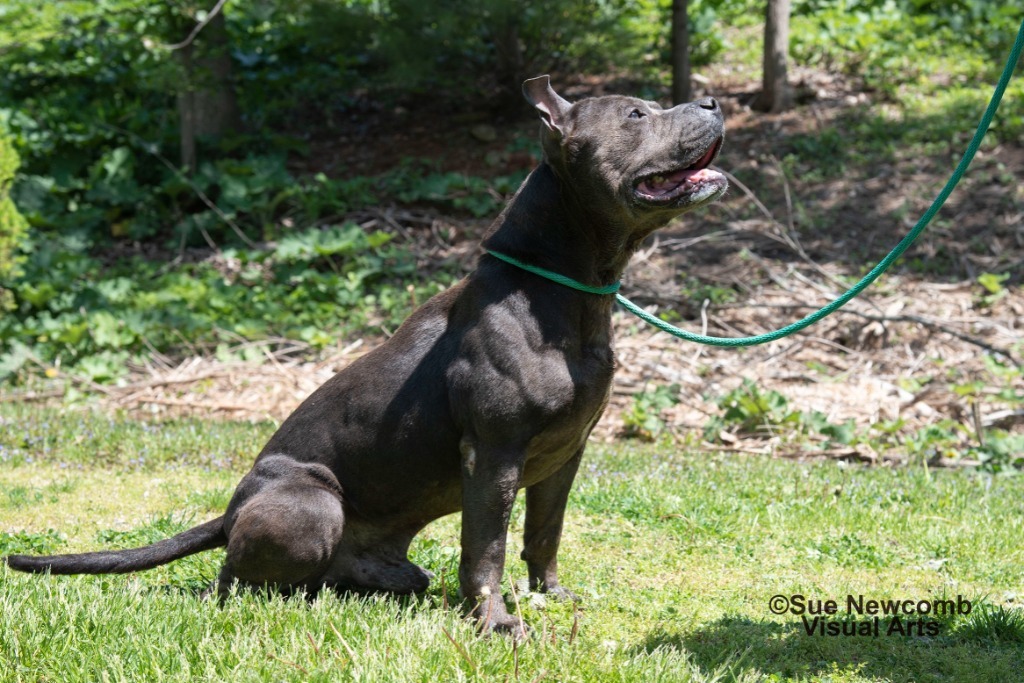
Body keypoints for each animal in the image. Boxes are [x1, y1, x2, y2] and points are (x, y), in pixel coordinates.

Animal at [8, 74, 729, 634]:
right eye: (636, 115)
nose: (714, 101)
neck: (563, 287)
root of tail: (231, 512)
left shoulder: (564, 454)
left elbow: (542, 535)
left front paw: (551, 596)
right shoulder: (492, 453)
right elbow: (487, 548)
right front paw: (496, 621)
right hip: (313, 502)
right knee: (231, 579)